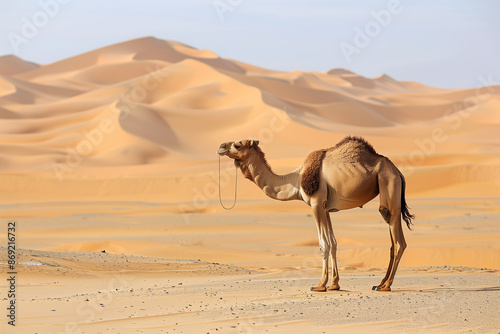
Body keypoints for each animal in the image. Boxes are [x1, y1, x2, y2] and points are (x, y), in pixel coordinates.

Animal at [217, 134, 416, 290]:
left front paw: (320, 284)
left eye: (238, 145)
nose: (220, 146)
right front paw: (334, 284)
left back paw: (386, 285)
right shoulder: (326, 207)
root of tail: (399, 172)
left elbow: (322, 244)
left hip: (389, 186)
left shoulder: (316, 203)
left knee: (399, 241)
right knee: (392, 242)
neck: (296, 181)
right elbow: (333, 242)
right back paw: (379, 283)